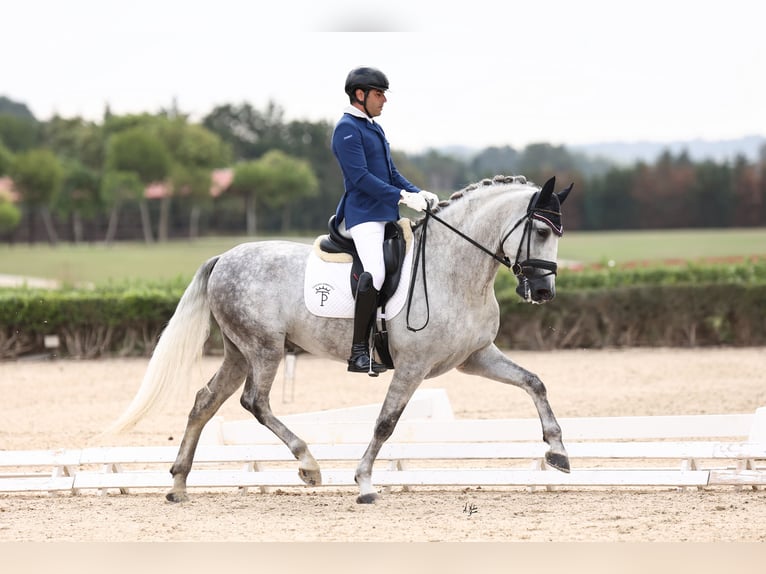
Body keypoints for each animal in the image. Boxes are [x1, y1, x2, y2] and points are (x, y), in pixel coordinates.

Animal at [108, 174, 576, 504]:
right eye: (540, 232)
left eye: (558, 234)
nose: (543, 292)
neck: (452, 268)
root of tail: (225, 257)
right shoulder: (413, 366)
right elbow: (386, 422)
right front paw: (364, 482)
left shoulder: (475, 357)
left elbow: (534, 382)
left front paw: (558, 452)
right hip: (264, 349)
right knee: (255, 402)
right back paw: (309, 465)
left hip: (238, 352)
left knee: (205, 402)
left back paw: (179, 485)